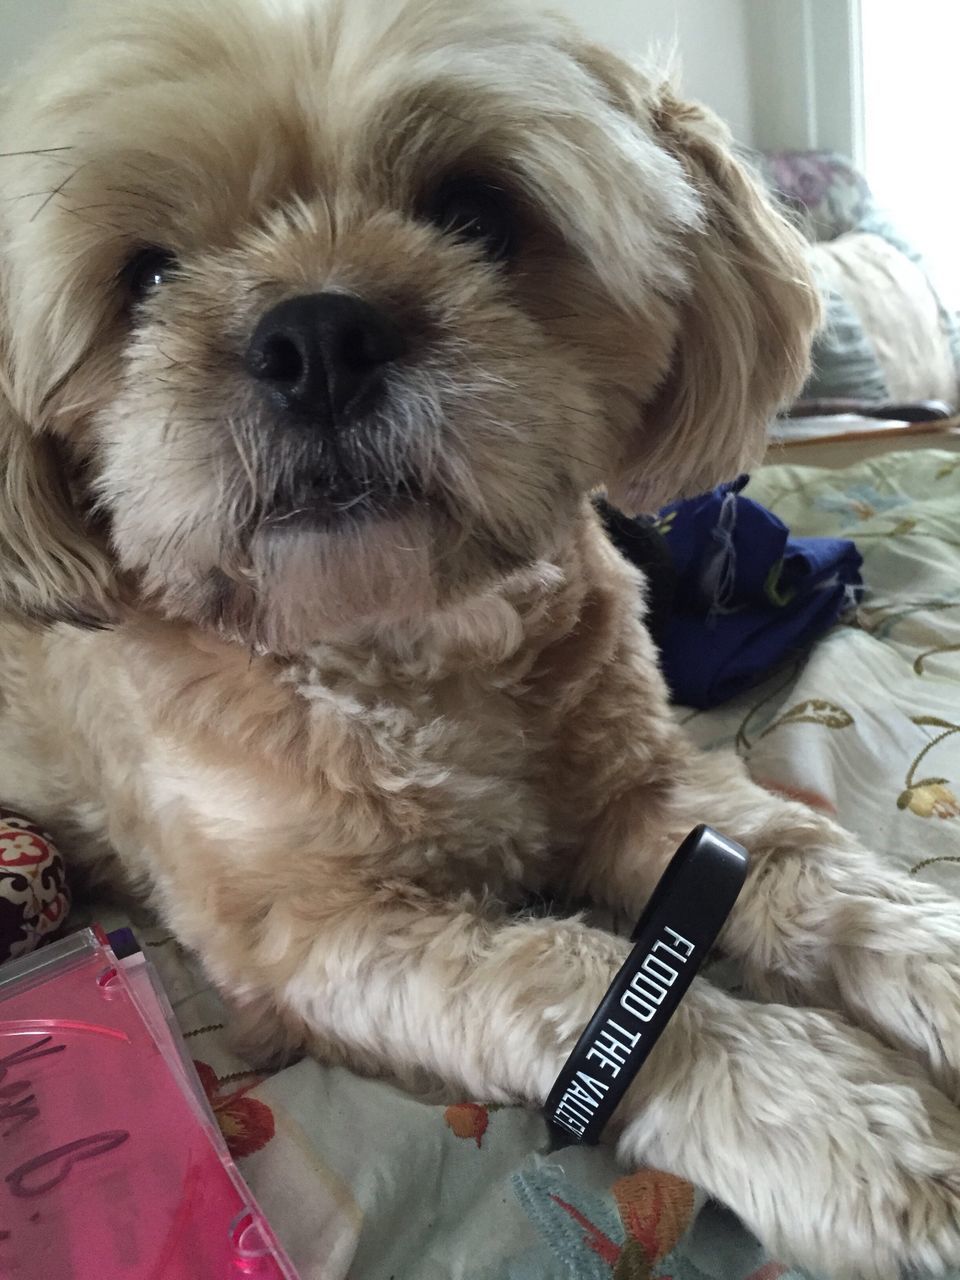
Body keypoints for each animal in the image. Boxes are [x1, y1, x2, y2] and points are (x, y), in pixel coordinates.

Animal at [1, 5, 960, 1274]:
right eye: (146, 274)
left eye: (477, 212)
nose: (317, 335)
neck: (413, 643)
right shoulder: (323, 937)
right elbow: (579, 969)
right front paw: (835, 1123)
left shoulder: (646, 791)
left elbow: (812, 868)